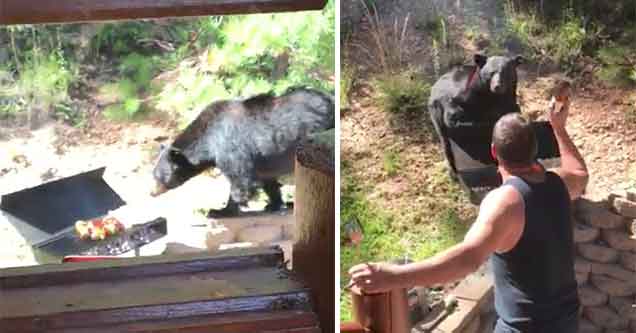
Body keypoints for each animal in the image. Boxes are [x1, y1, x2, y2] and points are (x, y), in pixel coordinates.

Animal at [152, 87, 336, 218]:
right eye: (154, 174)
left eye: (159, 176)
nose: (151, 192)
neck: (207, 141)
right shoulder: (263, 161)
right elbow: (268, 181)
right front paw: (273, 204)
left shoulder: (230, 146)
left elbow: (240, 180)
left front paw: (220, 210)